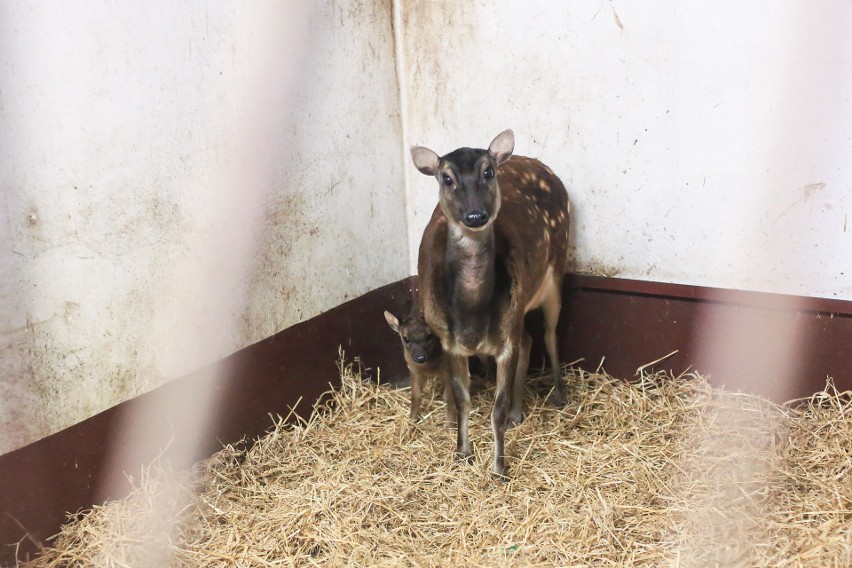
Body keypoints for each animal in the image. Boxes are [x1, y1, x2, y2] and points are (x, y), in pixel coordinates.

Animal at [410, 126, 568, 478]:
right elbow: (462, 400)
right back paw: (518, 413)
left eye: (488, 172)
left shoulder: (506, 338)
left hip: (556, 272)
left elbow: (496, 409)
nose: (475, 215)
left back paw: (559, 395)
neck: (471, 316)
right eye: (447, 178)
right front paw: (462, 453)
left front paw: (499, 466)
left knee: (550, 337)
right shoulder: (449, 341)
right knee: (530, 339)